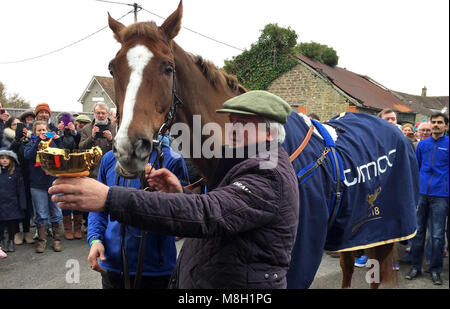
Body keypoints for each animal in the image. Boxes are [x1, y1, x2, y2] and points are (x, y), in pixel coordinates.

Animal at [107, 1, 416, 288]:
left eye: (168, 67)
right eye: (112, 68)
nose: (129, 147)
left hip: (382, 229)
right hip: (351, 232)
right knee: (348, 266)